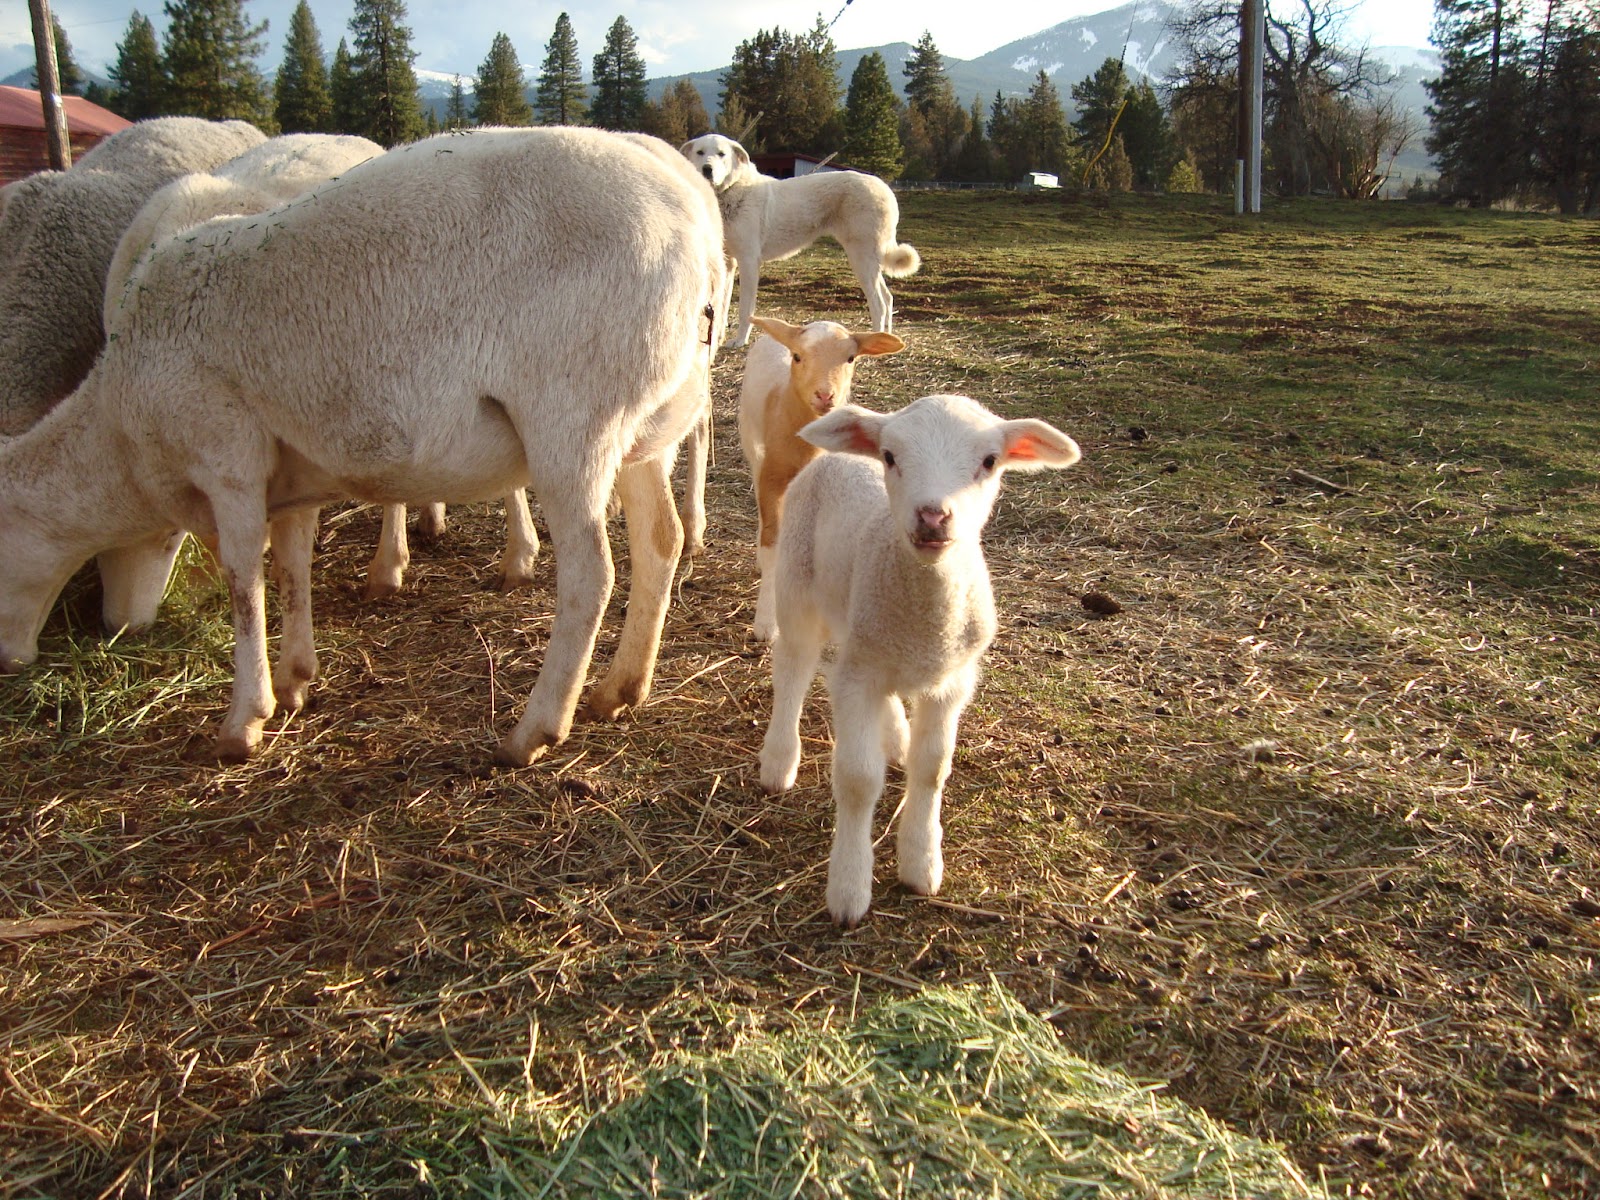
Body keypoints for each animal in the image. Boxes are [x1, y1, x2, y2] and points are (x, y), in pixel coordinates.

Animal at [0, 126, 726, 767]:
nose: (10, 664)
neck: (119, 432)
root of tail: (700, 232)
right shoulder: (288, 462)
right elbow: (291, 564)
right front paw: (294, 678)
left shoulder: (226, 452)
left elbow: (243, 580)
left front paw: (244, 721)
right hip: (645, 424)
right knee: (659, 541)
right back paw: (619, 690)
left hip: (574, 418)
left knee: (590, 575)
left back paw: (534, 731)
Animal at [679, 133, 921, 347]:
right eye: (700, 152)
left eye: (721, 154)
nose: (707, 169)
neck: (731, 191)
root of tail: (884, 187)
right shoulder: (729, 263)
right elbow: (722, 307)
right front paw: (718, 340)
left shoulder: (749, 263)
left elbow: (745, 309)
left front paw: (740, 341)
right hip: (868, 260)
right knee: (888, 299)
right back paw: (887, 339)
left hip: (861, 257)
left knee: (879, 303)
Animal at [736, 315, 904, 640]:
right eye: (798, 356)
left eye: (850, 358)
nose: (825, 396)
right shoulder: (772, 477)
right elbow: (772, 543)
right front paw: (766, 622)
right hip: (751, 440)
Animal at [756, 394, 1082, 927]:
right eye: (890, 456)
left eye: (990, 461)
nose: (932, 518)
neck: (925, 622)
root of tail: (836, 454)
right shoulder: (860, 677)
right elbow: (858, 779)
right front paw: (849, 889)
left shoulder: (951, 680)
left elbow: (932, 768)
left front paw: (921, 863)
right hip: (798, 581)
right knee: (793, 668)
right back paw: (779, 760)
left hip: (857, 622)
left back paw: (895, 737)